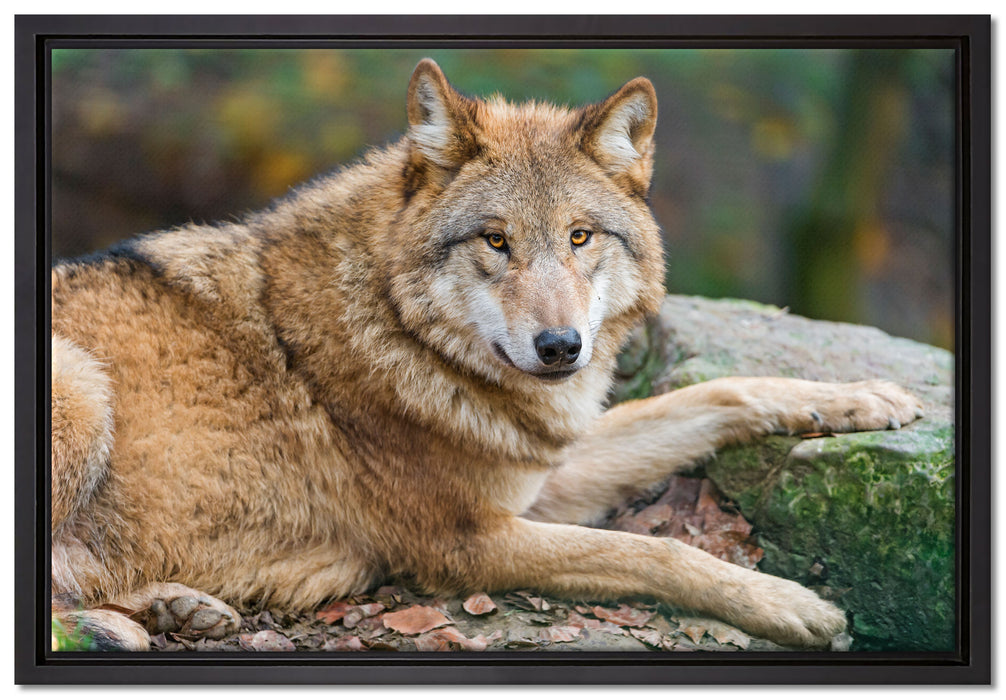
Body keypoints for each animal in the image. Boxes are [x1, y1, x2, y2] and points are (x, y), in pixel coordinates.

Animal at [50, 58, 923, 651]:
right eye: (497, 241)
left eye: (580, 236)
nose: (561, 347)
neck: (400, 329)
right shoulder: (470, 541)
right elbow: (656, 552)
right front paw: (791, 604)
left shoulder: (544, 471)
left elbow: (718, 395)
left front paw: (864, 398)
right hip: (83, 387)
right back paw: (130, 625)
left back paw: (175, 607)